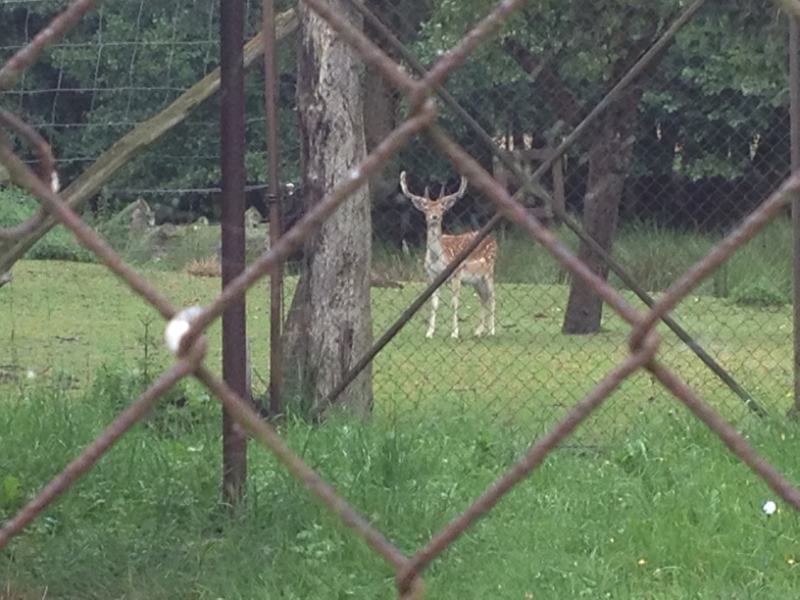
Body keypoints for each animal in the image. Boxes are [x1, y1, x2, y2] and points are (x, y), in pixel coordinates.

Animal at [400, 171, 498, 339]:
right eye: (426, 208)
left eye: (441, 208)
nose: (434, 217)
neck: (438, 259)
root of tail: (494, 240)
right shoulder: (432, 276)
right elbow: (434, 304)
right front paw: (429, 332)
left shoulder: (456, 274)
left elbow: (454, 303)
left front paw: (454, 333)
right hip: (476, 280)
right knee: (484, 297)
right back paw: (478, 331)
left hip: (489, 271)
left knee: (492, 296)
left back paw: (491, 331)